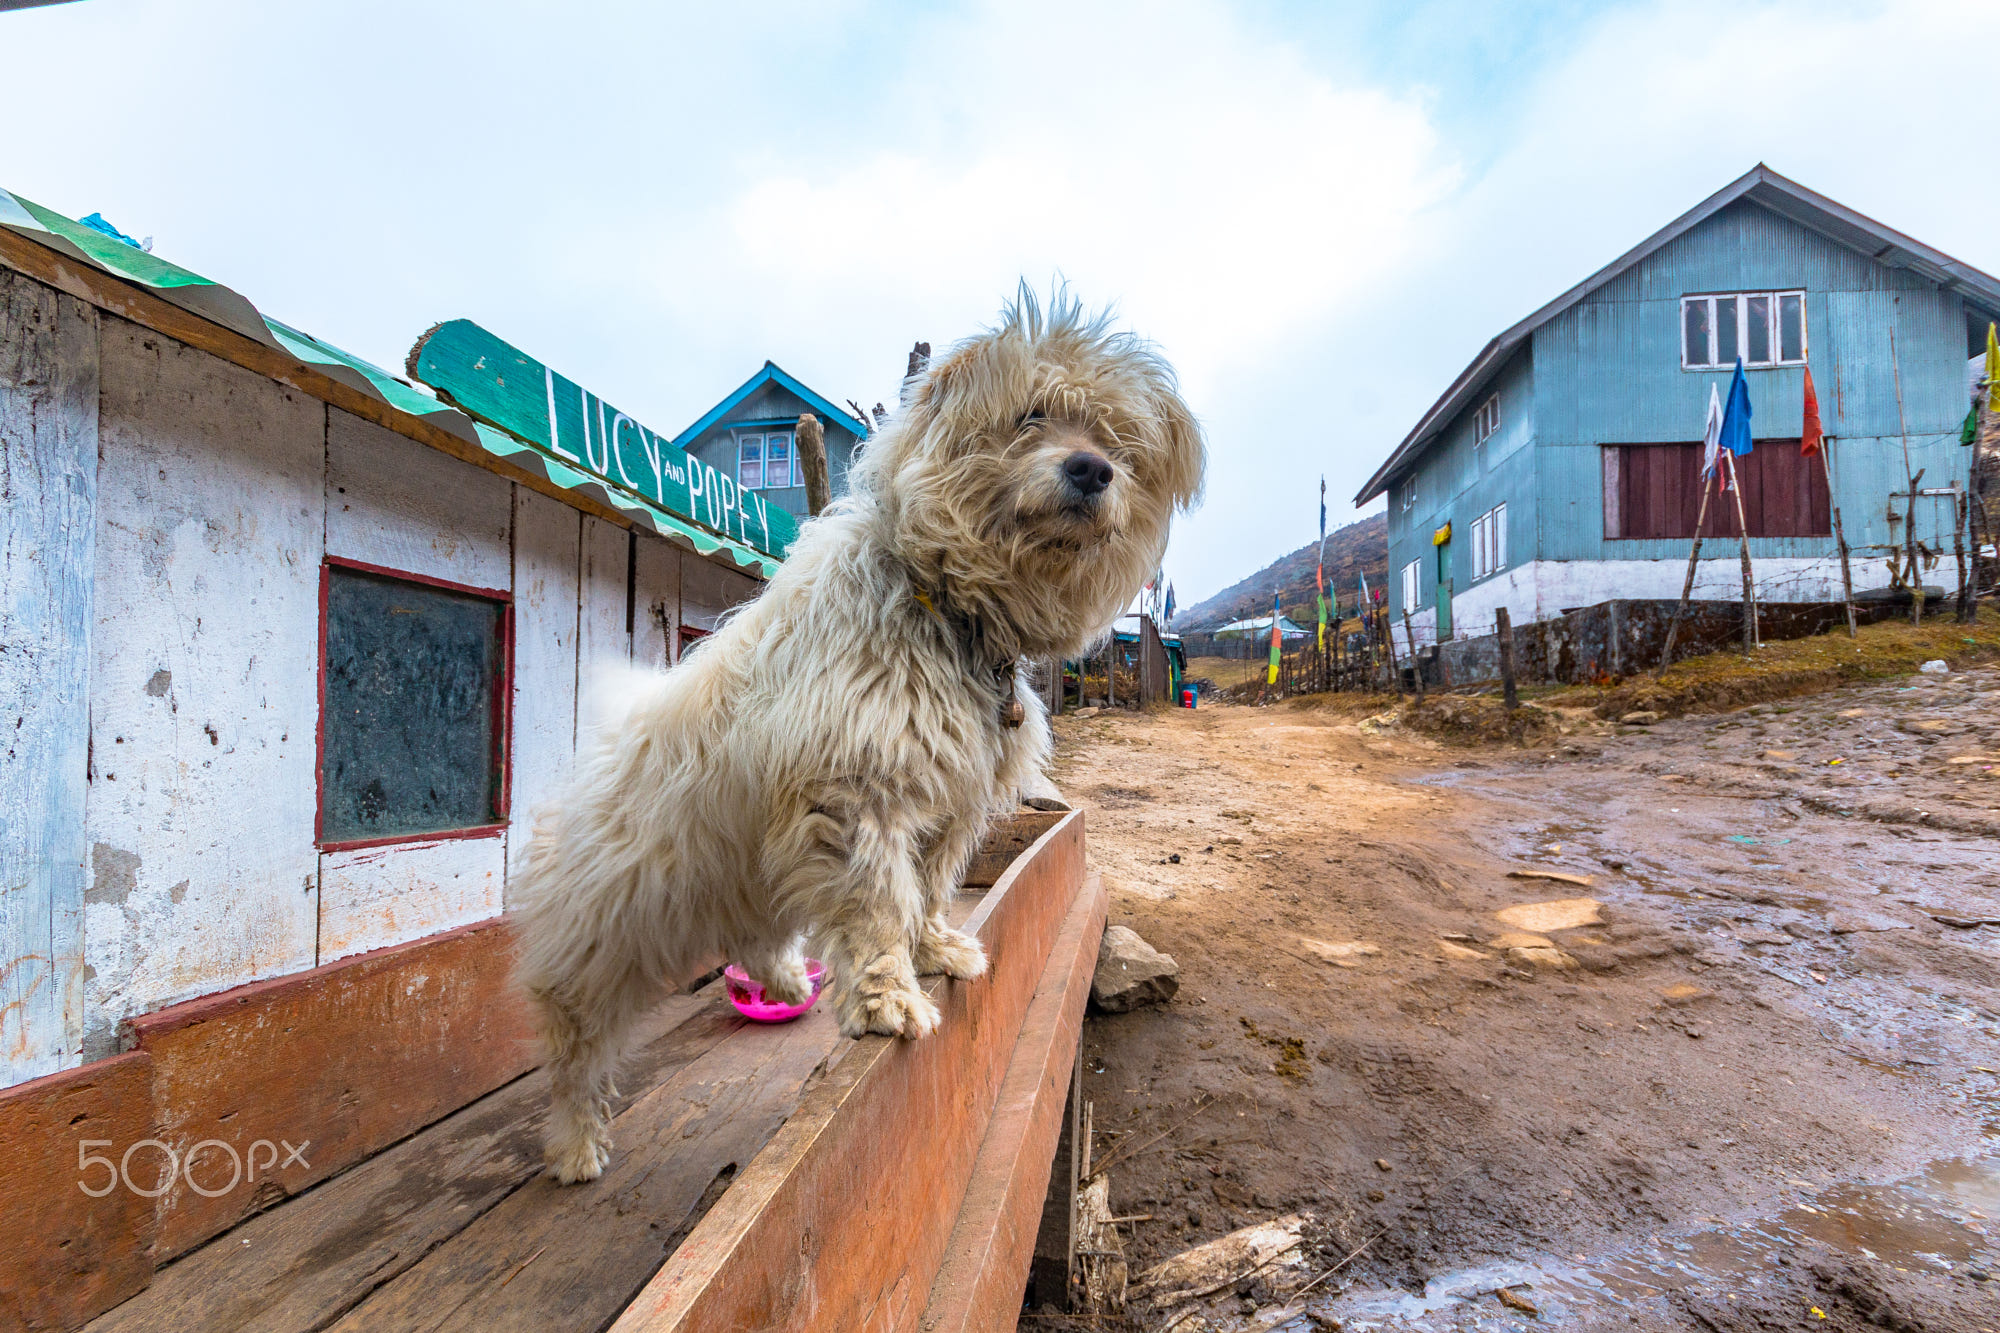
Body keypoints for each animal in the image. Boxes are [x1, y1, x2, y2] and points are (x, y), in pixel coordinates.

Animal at [516, 288, 1200, 1176]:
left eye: (1118, 441)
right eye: (1031, 415)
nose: (1092, 470)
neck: (948, 606)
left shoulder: (944, 804)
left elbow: (928, 890)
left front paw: (936, 949)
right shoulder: (855, 797)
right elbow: (880, 906)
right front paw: (887, 997)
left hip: (742, 868)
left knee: (754, 930)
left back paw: (781, 980)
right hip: (605, 931)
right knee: (576, 1038)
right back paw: (574, 1140)